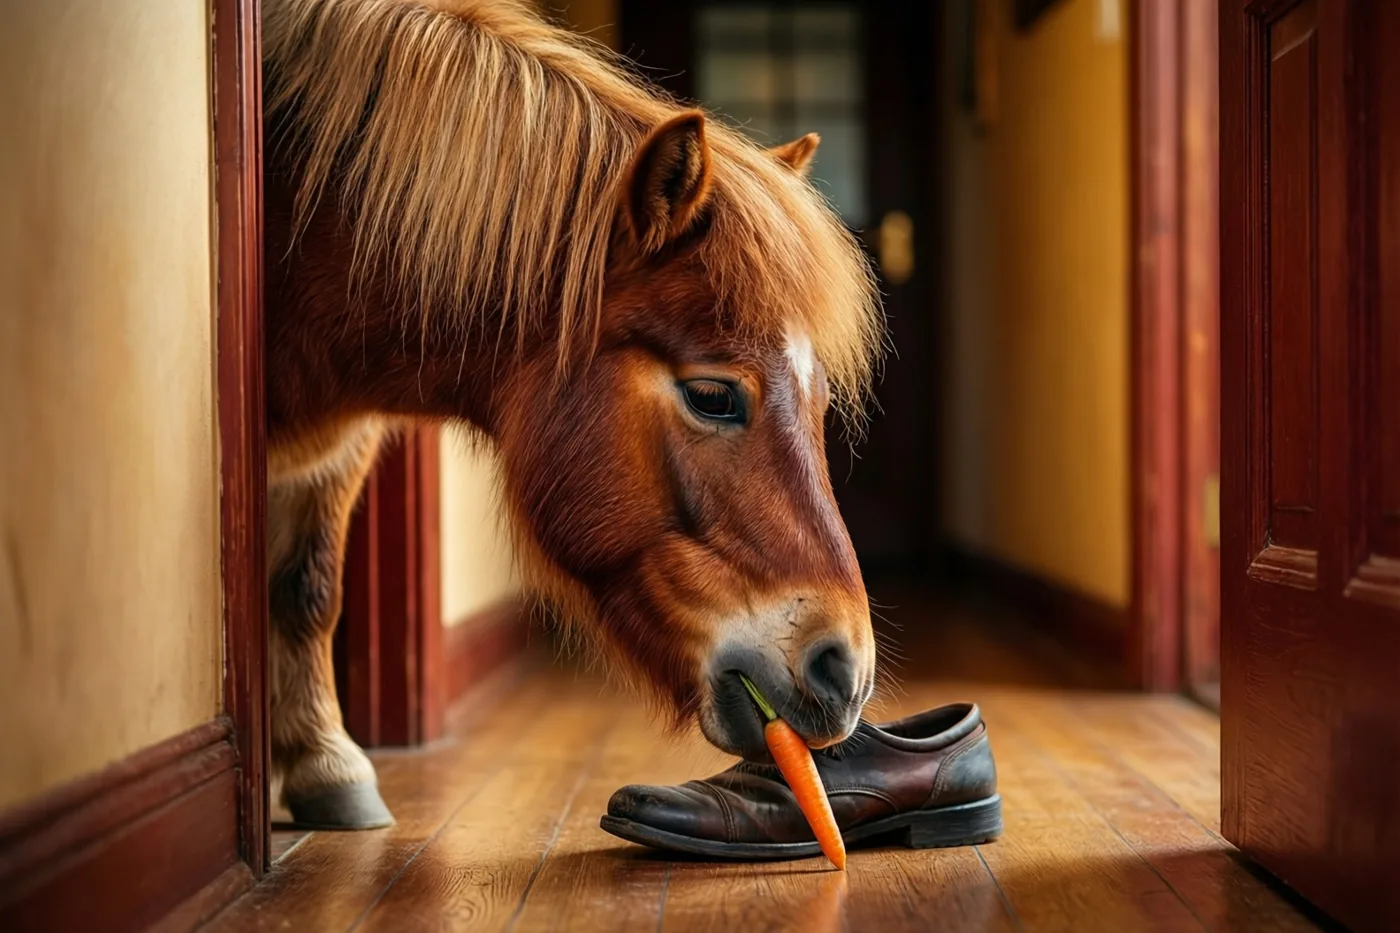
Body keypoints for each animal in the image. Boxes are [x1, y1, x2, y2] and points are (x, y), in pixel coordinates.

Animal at [262, 0, 884, 829]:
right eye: (713, 395)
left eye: (818, 402)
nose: (845, 671)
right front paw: (322, 762)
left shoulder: (341, 448)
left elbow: (308, 588)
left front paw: (323, 763)